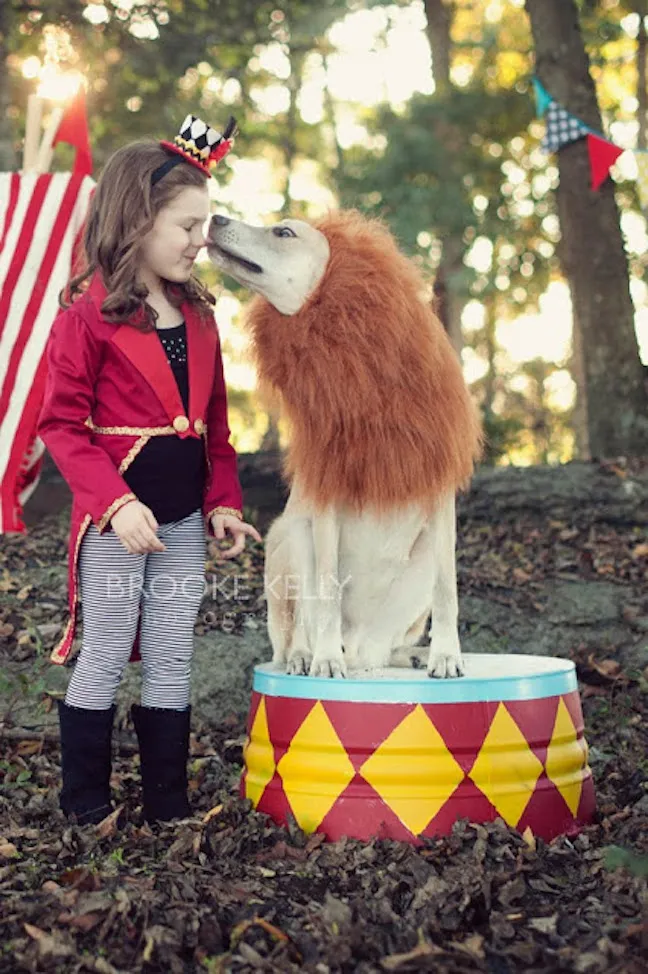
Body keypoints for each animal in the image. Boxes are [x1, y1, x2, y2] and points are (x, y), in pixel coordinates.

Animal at [206, 210, 480, 680]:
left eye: (284, 232)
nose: (215, 216)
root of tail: (362, 648)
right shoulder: (325, 503)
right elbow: (327, 594)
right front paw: (324, 660)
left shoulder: (439, 497)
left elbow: (449, 593)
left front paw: (446, 654)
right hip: (290, 536)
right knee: (297, 630)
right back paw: (307, 656)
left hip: (419, 564)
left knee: (387, 644)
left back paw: (407, 654)